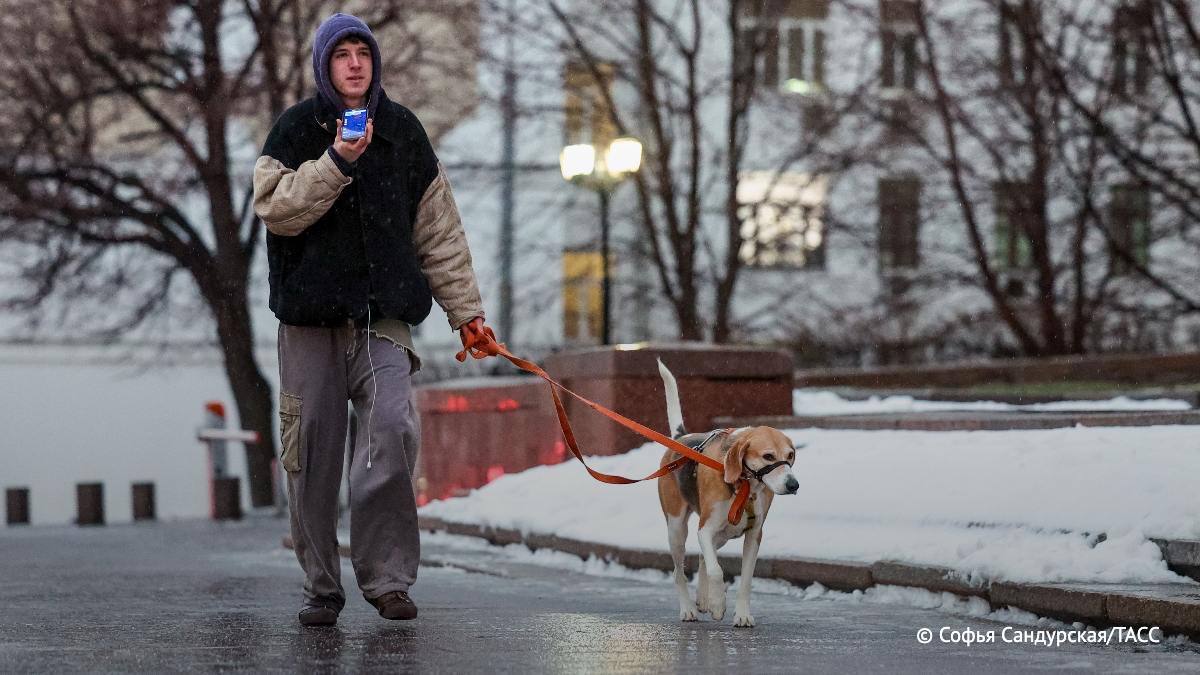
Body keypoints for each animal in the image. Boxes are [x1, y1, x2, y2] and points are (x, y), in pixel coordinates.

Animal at [657, 357, 796, 624]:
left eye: (791, 455)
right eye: (768, 456)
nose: (793, 485)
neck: (744, 486)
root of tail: (681, 439)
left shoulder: (753, 535)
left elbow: (745, 580)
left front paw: (741, 614)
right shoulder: (705, 530)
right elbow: (716, 569)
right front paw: (718, 604)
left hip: (724, 533)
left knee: (703, 556)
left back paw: (702, 598)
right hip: (677, 529)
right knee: (680, 572)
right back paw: (689, 608)